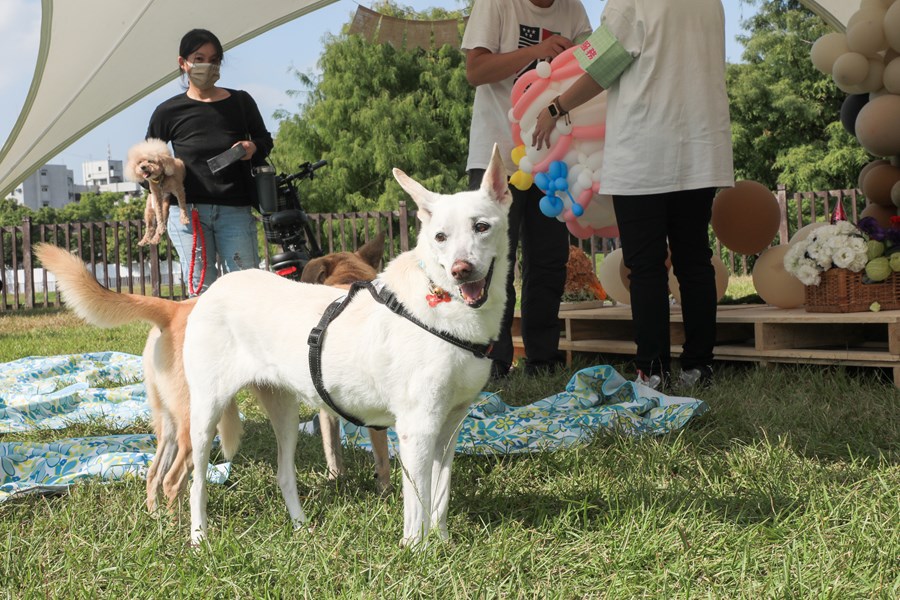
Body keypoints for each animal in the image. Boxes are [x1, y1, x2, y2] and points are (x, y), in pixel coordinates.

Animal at [35, 232, 390, 512]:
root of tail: (173, 308)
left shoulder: (327, 406)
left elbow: (333, 448)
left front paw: (337, 478)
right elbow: (382, 457)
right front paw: (384, 491)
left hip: (169, 421)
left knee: (154, 473)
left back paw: (156, 518)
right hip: (198, 417)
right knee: (174, 479)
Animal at [185, 143, 510, 548]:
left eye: (482, 227)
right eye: (440, 237)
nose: (461, 270)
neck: (445, 309)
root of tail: (217, 286)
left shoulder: (449, 426)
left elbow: (441, 496)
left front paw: (444, 543)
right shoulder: (416, 428)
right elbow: (417, 504)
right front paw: (416, 552)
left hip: (285, 413)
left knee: (284, 474)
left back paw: (301, 528)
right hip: (206, 414)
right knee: (196, 482)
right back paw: (199, 539)